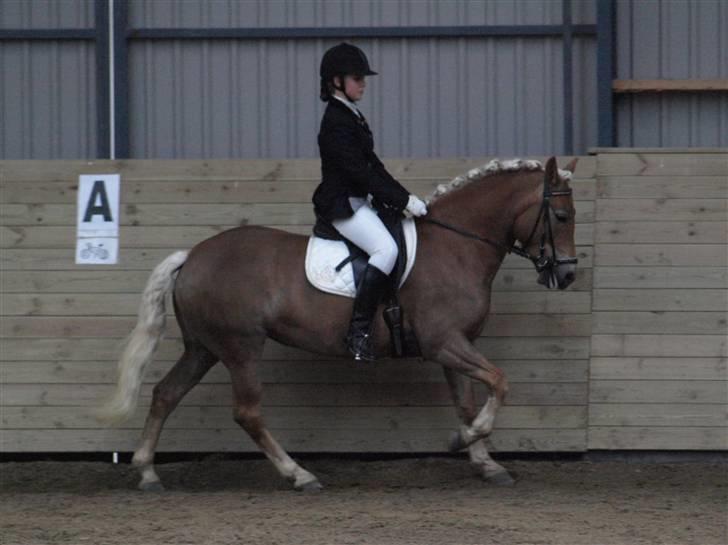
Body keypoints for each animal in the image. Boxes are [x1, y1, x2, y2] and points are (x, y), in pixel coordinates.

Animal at [96, 156, 576, 488]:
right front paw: (463, 442)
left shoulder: (452, 346)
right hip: (240, 348)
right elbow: (499, 383)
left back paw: (147, 472)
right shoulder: (444, 343)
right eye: (562, 217)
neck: (457, 244)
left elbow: (468, 402)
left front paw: (486, 463)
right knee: (247, 412)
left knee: (165, 393)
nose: (567, 275)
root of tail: (192, 255)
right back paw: (299, 475)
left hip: (203, 348)